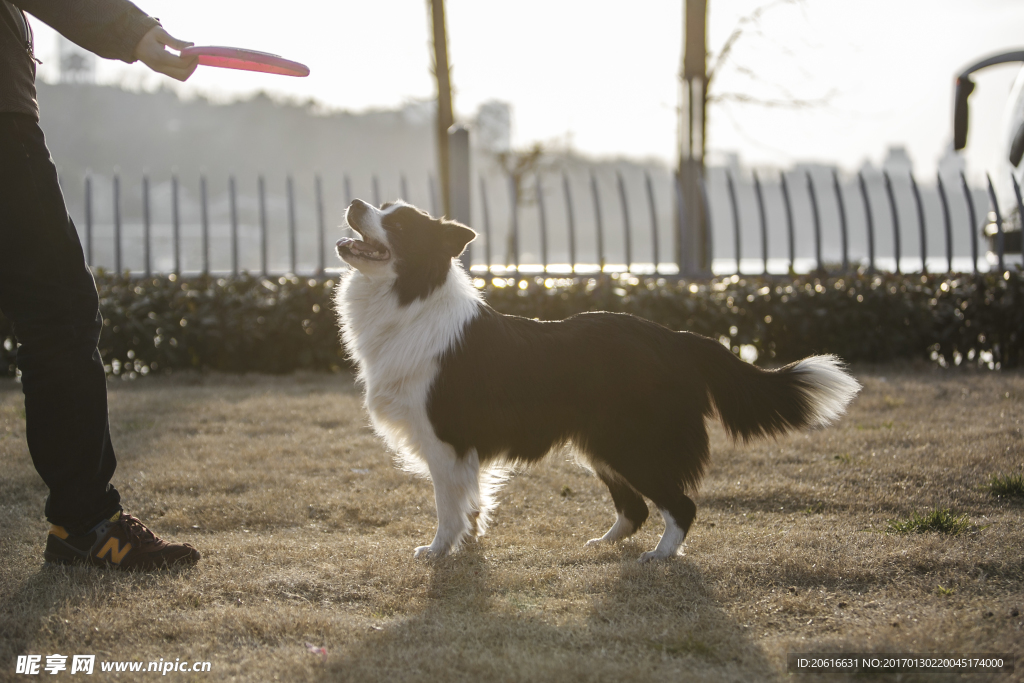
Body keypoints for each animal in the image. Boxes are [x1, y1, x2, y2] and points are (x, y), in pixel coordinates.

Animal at [333, 197, 856, 561]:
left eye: (399, 224)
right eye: (382, 204)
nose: (356, 204)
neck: (411, 299)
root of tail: (676, 336)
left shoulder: (445, 440)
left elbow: (447, 506)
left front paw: (439, 551)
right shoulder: (464, 450)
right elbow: (472, 502)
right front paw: (471, 541)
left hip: (633, 444)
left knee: (680, 504)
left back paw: (661, 556)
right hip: (602, 444)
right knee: (637, 508)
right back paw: (604, 545)